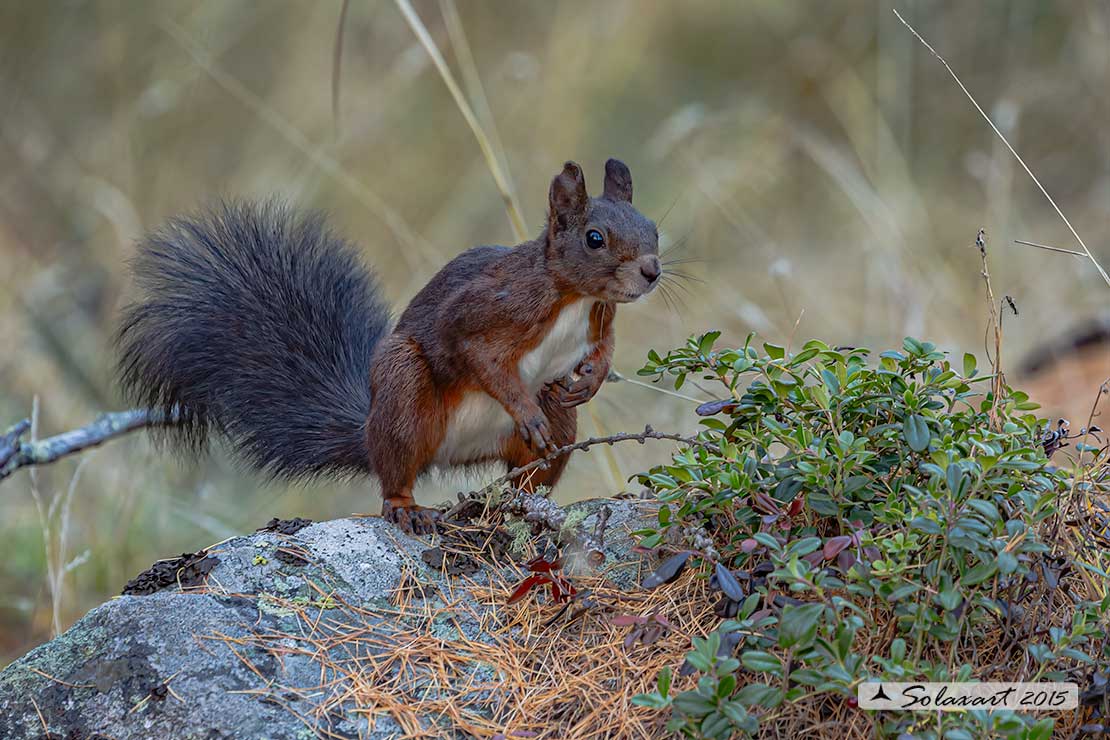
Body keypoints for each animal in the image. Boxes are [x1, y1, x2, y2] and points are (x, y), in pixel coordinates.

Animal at [116, 159, 661, 534]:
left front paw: (592, 379)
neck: (575, 298)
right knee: (395, 474)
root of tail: (451, 453)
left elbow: (605, 347)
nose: (652, 271)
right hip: (404, 391)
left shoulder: (598, 322)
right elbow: (482, 359)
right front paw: (523, 408)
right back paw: (409, 508)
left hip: (552, 426)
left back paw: (524, 504)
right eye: (594, 238)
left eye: (653, 227)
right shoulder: (485, 311)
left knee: (532, 471)